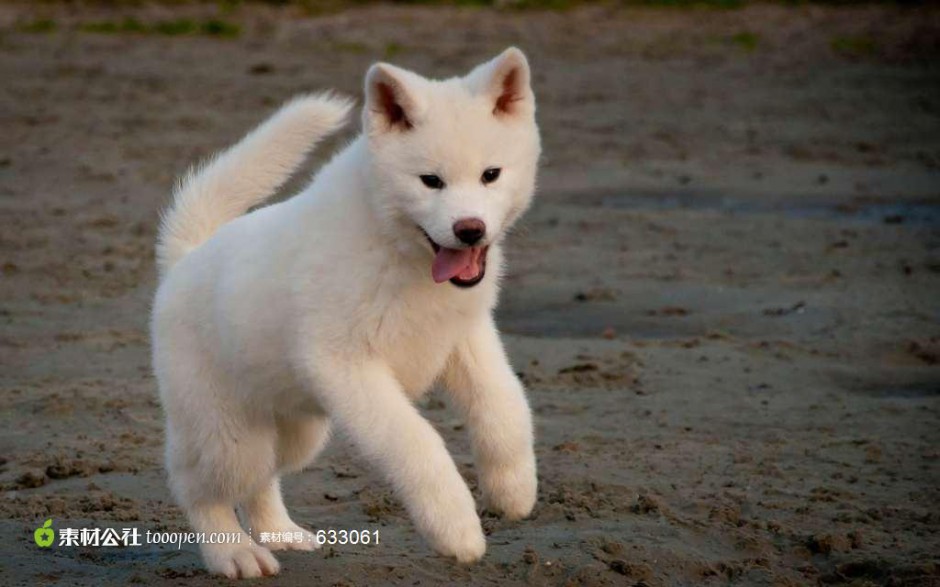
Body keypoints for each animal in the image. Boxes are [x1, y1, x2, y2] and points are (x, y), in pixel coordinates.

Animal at [151, 47, 540, 580]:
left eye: (491, 174)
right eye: (431, 181)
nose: (470, 229)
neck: (397, 250)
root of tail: (187, 257)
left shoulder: (465, 337)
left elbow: (505, 405)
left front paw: (513, 488)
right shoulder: (346, 366)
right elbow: (417, 442)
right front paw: (456, 527)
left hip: (297, 429)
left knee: (261, 481)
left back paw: (280, 533)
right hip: (227, 436)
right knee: (198, 489)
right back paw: (233, 554)